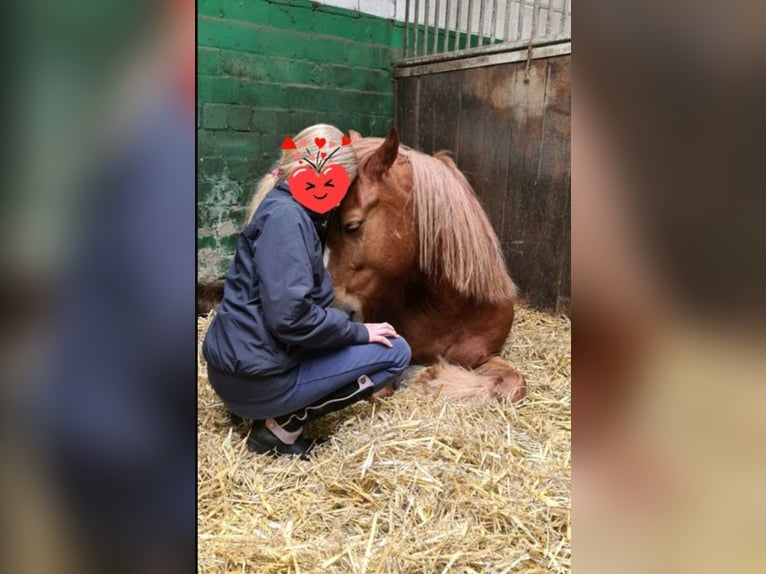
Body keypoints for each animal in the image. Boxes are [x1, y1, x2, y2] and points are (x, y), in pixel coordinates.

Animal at [324, 128, 528, 402]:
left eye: (352, 225)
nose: (333, 309)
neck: (449, 310)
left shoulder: (486, 356)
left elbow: (515, 385)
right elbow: (381, 389)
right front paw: (426, 374)